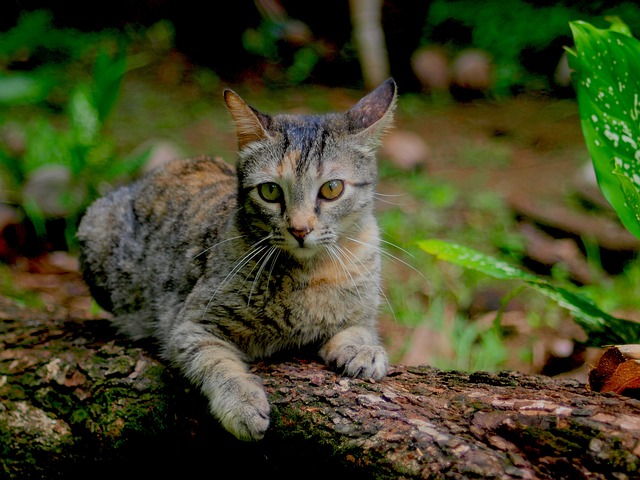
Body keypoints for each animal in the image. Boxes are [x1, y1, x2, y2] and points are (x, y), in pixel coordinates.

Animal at [77, 77, 398, 440]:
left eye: (332, 188)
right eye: (270, 191)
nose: (300, 229)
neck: (311, 273)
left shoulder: (361, 313)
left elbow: (359, 329)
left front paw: (363, 350)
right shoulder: (190, 326)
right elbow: (217, 363)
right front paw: (241, 402)